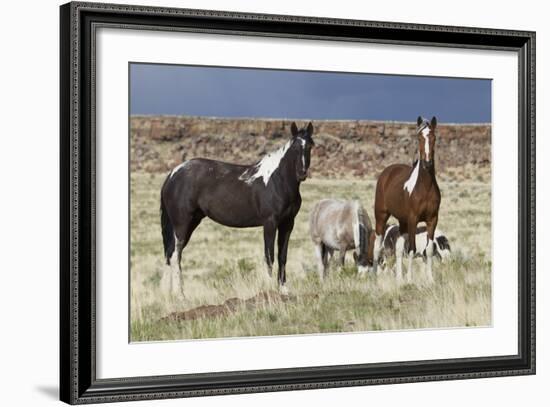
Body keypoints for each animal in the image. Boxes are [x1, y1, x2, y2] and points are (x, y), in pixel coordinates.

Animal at [160, 122, 314, 294]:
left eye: (310, 146)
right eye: (294, 147)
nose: (302, 173)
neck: (277, 180)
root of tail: (173, 174)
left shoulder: (287, 224)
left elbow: (282, 256)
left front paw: (284, 290)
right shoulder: (270, 223)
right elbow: (269, 256)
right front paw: (269, 288)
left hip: (192, 222)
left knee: (170, 253)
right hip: (182, 223)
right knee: (175, 255)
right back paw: (179, 294)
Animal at [374, 116, 442, 284]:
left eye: (434, 137)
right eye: (419, 138)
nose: (427, 163)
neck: (424, 187)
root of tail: (387, 172)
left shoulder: (432, 220)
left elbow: (428, 250)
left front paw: (430, 279)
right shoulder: (413, 219)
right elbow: (412, 249)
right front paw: (410, 279)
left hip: (402, 221)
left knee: (398, 249)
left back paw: (399, 279)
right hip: (381, 216)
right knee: (377, 246)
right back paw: (374, 276)